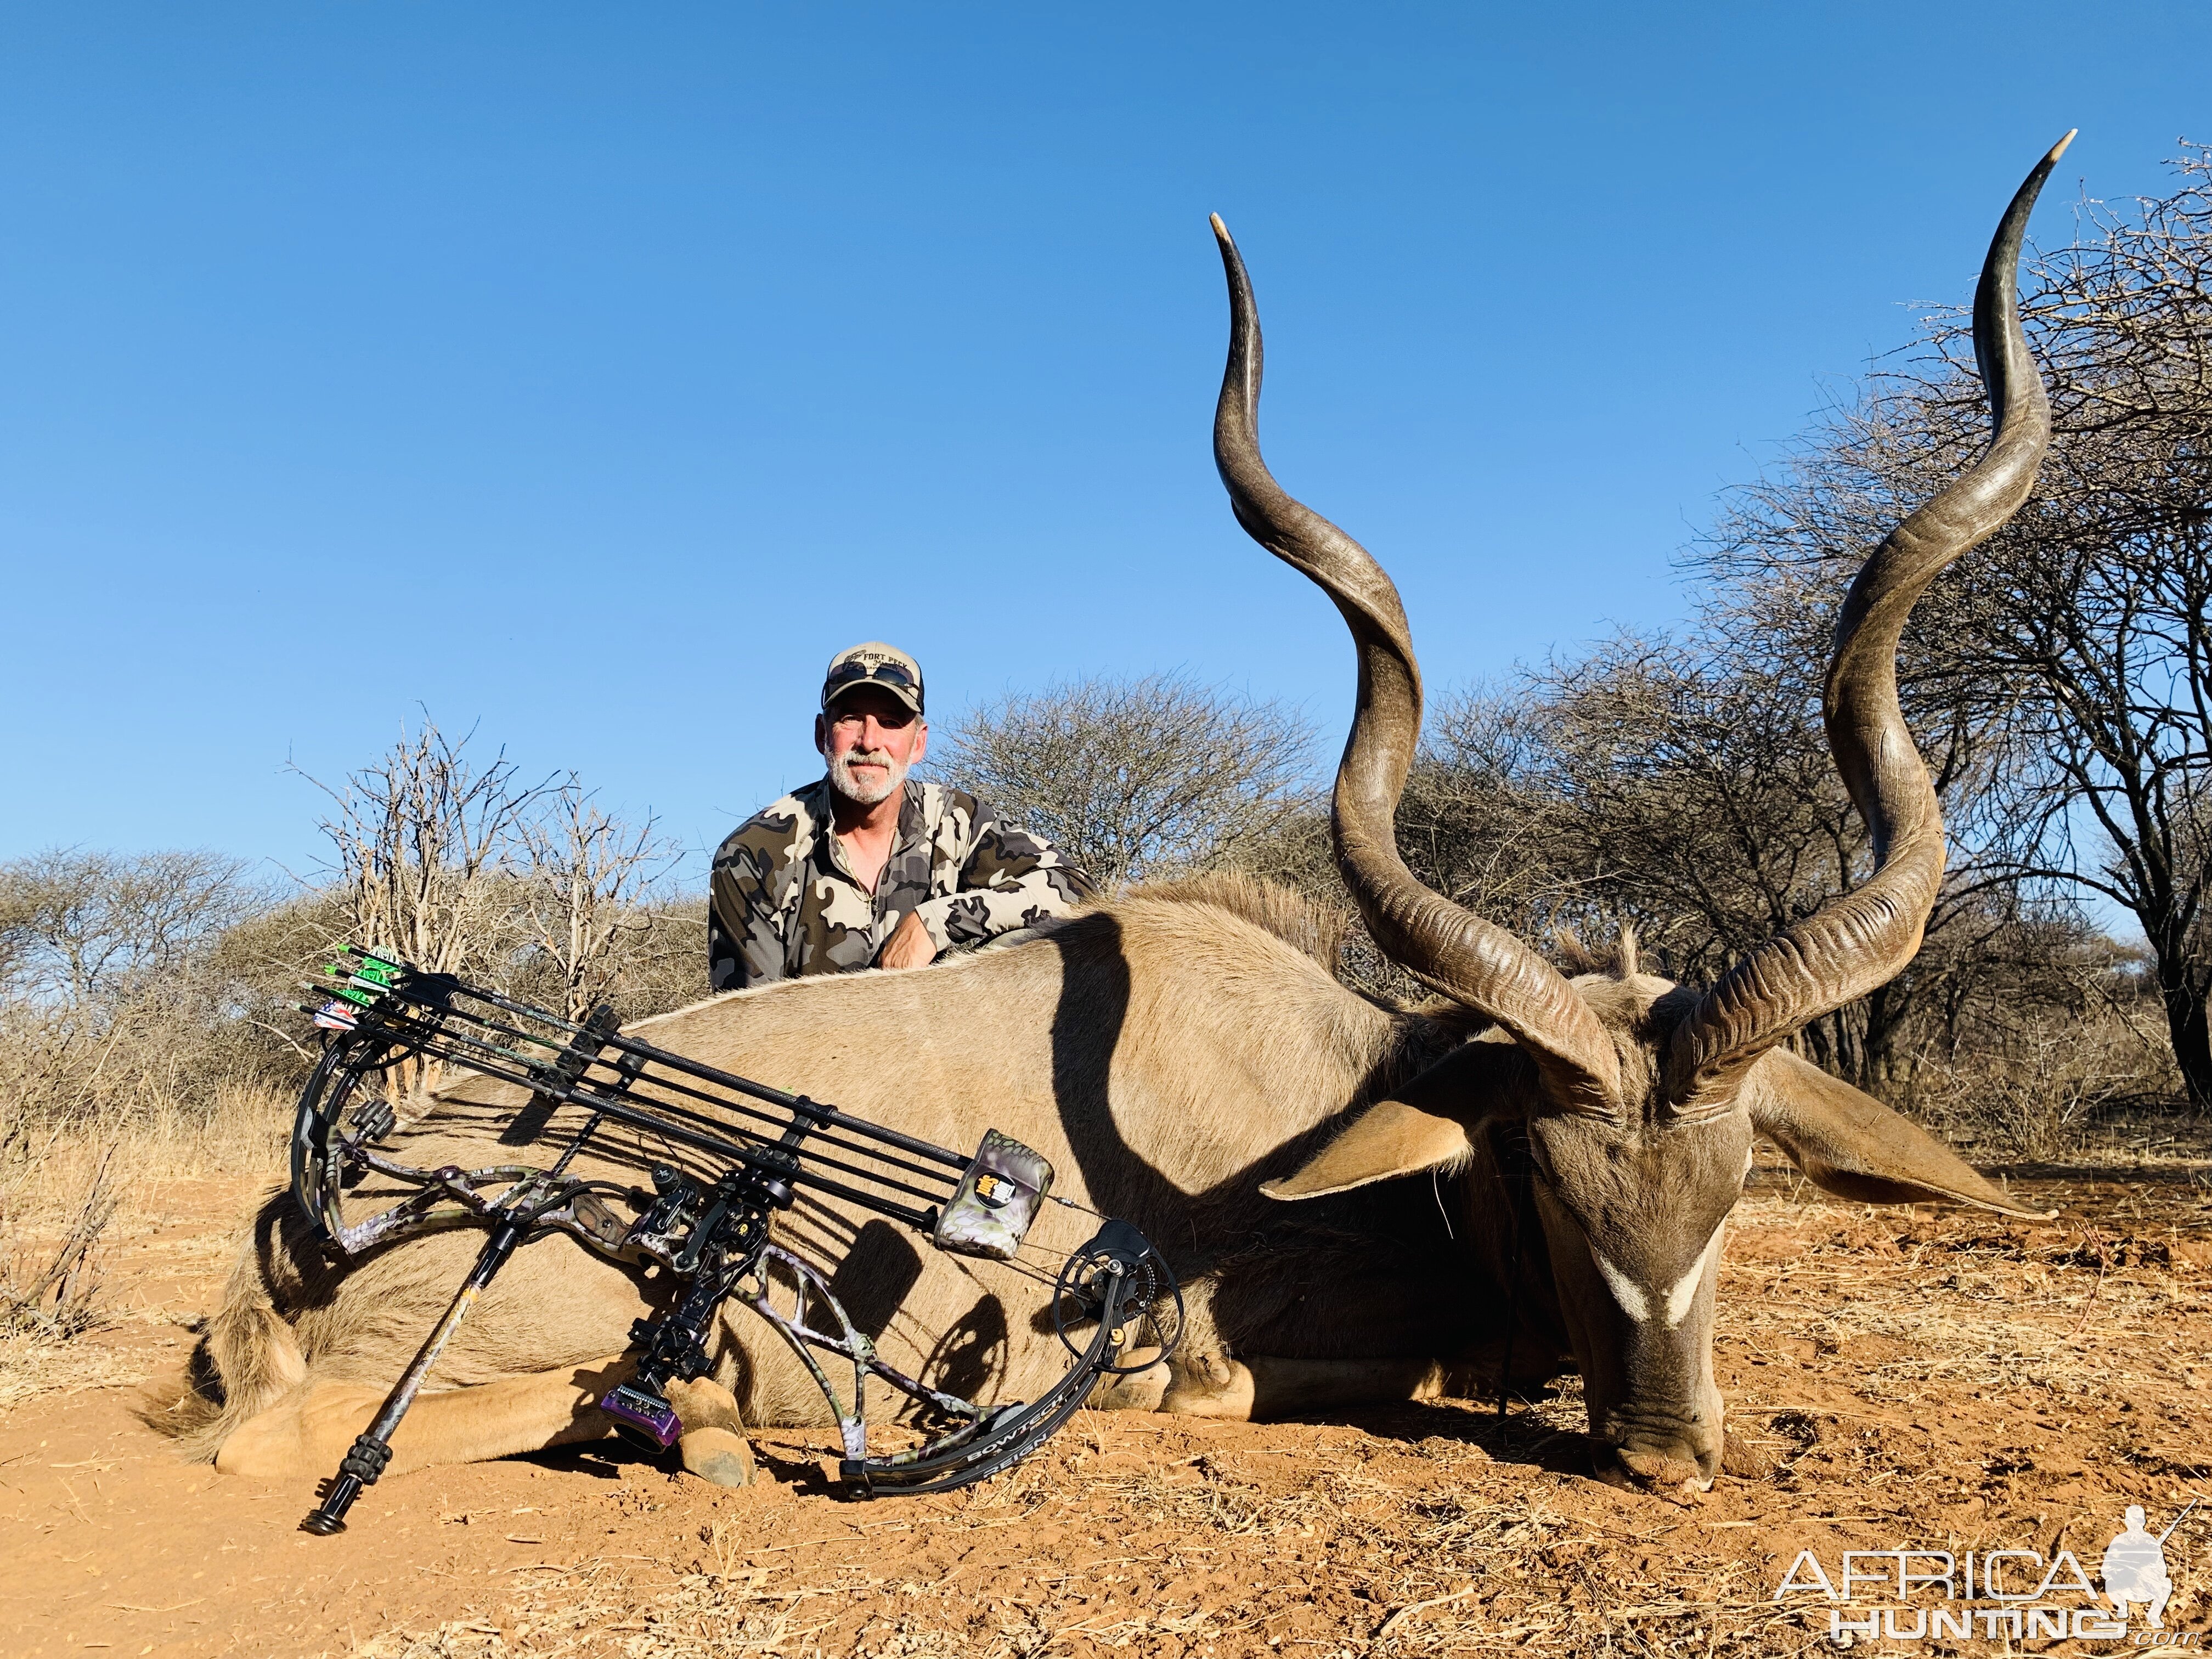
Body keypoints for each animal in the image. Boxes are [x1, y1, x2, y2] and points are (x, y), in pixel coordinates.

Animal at [151, 140, 2052, 1495]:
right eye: (1547, 1172)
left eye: (1734, 1186)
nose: (1668, 1453)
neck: (1355, 1087)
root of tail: (294, 1242)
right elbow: (1246, 1378)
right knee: (309, 1435)